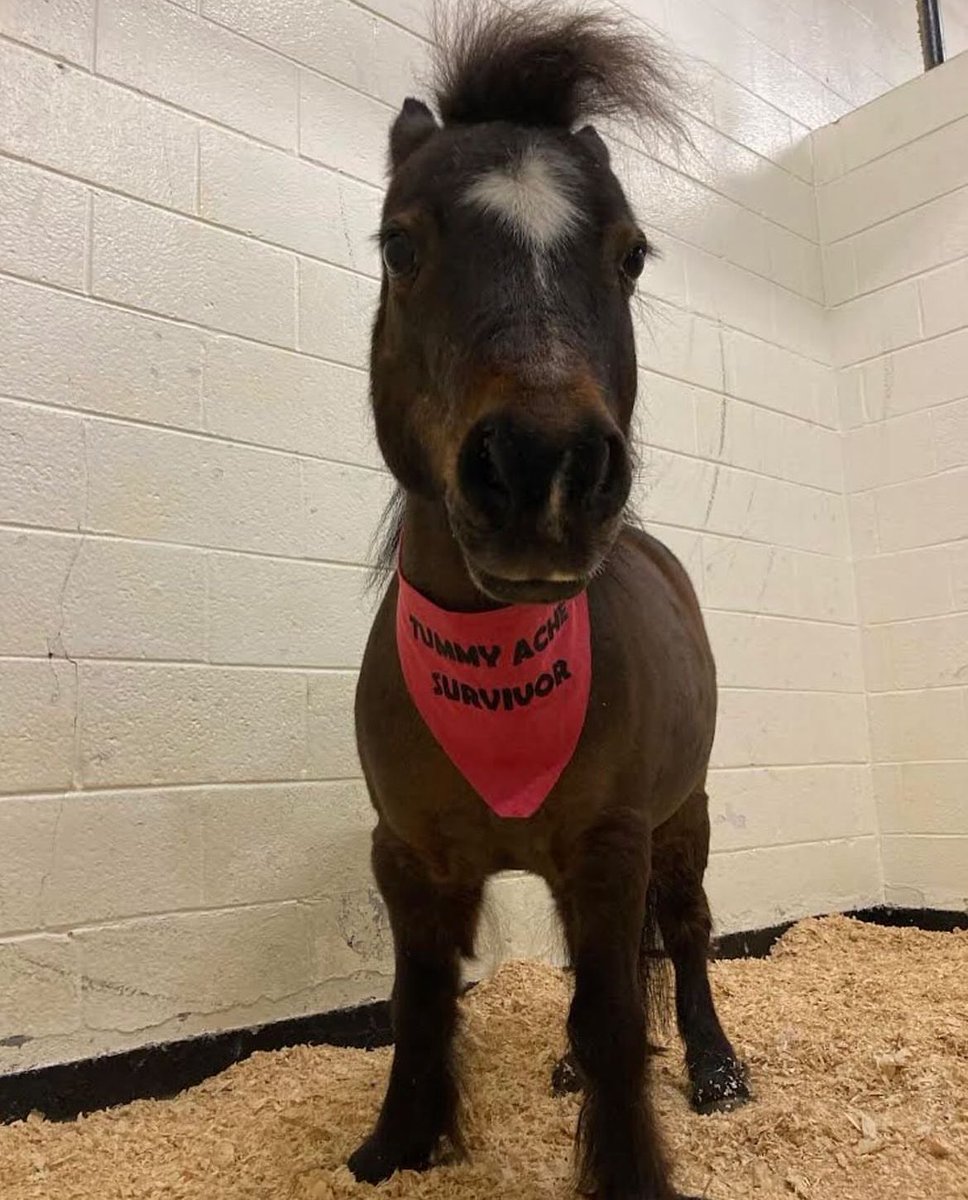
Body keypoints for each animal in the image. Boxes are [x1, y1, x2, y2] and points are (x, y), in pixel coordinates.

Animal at [349, 5, 749, 1197]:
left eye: (630, 255)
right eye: (400, 244)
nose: (543, 470)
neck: (490, 664)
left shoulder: (611, 846)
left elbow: (615, 1016)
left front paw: (628, 1166)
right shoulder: (407, 857)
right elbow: (421, 1007)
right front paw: (398, 1142)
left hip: (681, 820)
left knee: (684, 934)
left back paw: (713, 1070)